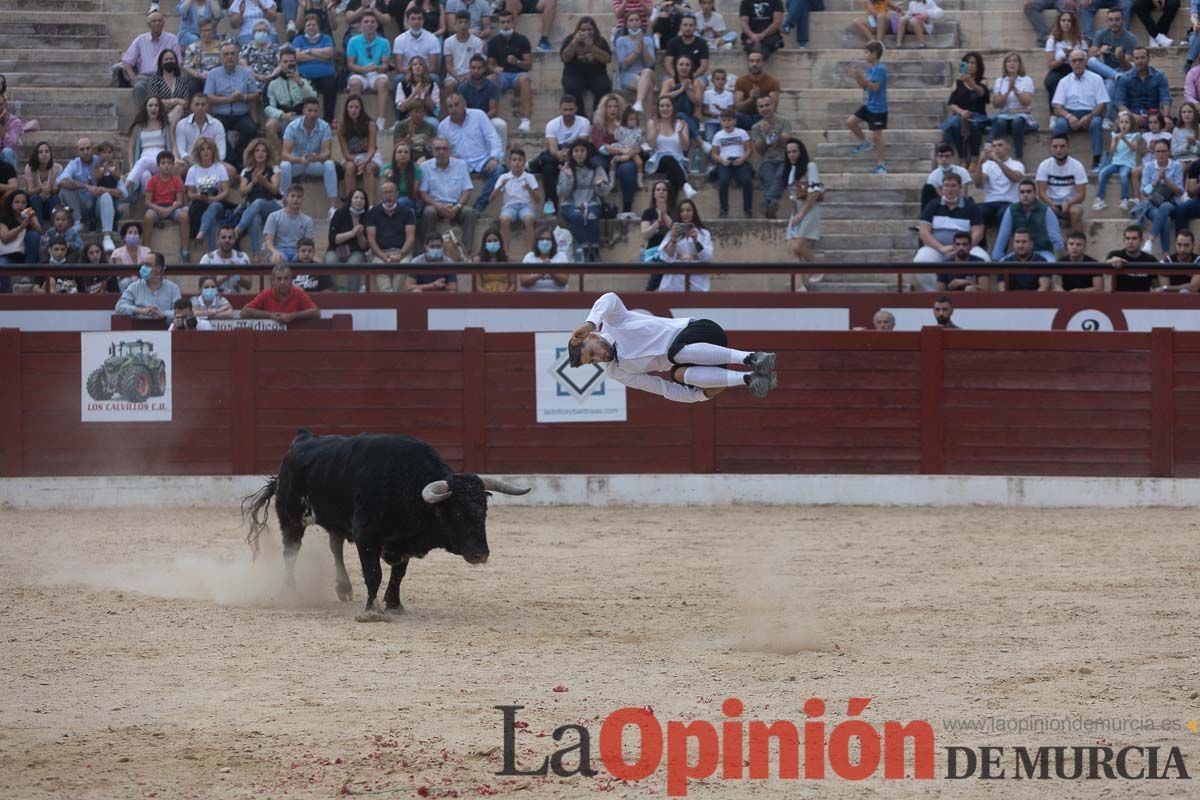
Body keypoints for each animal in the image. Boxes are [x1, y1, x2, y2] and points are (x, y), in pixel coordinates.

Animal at [241, 431, 528, 614]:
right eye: (457, 513)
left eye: (484, 511)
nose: (481, 554)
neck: (407, 486)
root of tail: (302, 440)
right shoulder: (366, 537)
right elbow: (374, 573)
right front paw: (372, 609)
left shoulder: (402, 544)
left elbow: (398, 574)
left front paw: (394, 604)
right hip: (290, 517)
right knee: (291, 552)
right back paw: (289, 593)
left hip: (335, 521)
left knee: (335, 546)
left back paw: (343, 588)